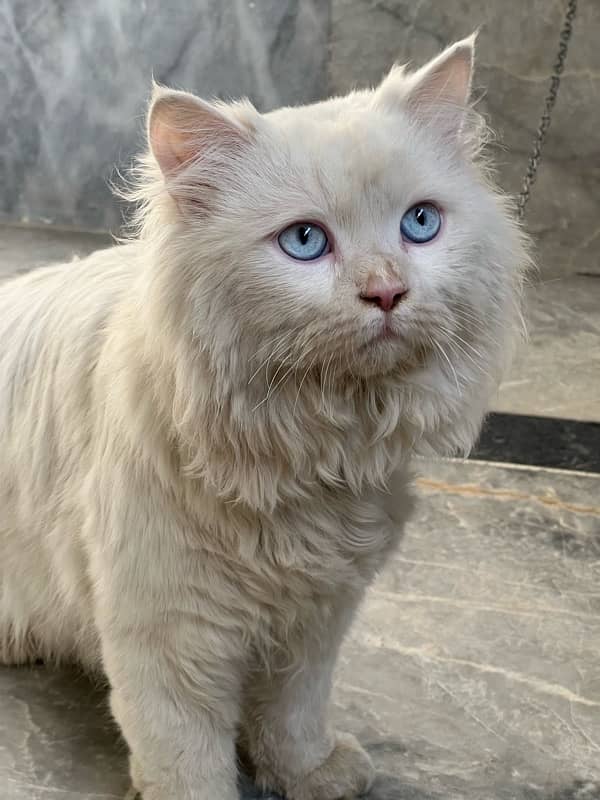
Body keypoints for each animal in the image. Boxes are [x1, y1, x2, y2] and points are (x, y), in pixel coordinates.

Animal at [0, 36, 524, 800]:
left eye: (420, 224)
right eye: (304, 241)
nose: (387, 292)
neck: (307, 453)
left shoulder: (316, 618)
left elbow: (293, 715)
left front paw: (313, 774)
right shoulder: (170, 633)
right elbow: (187, 758)